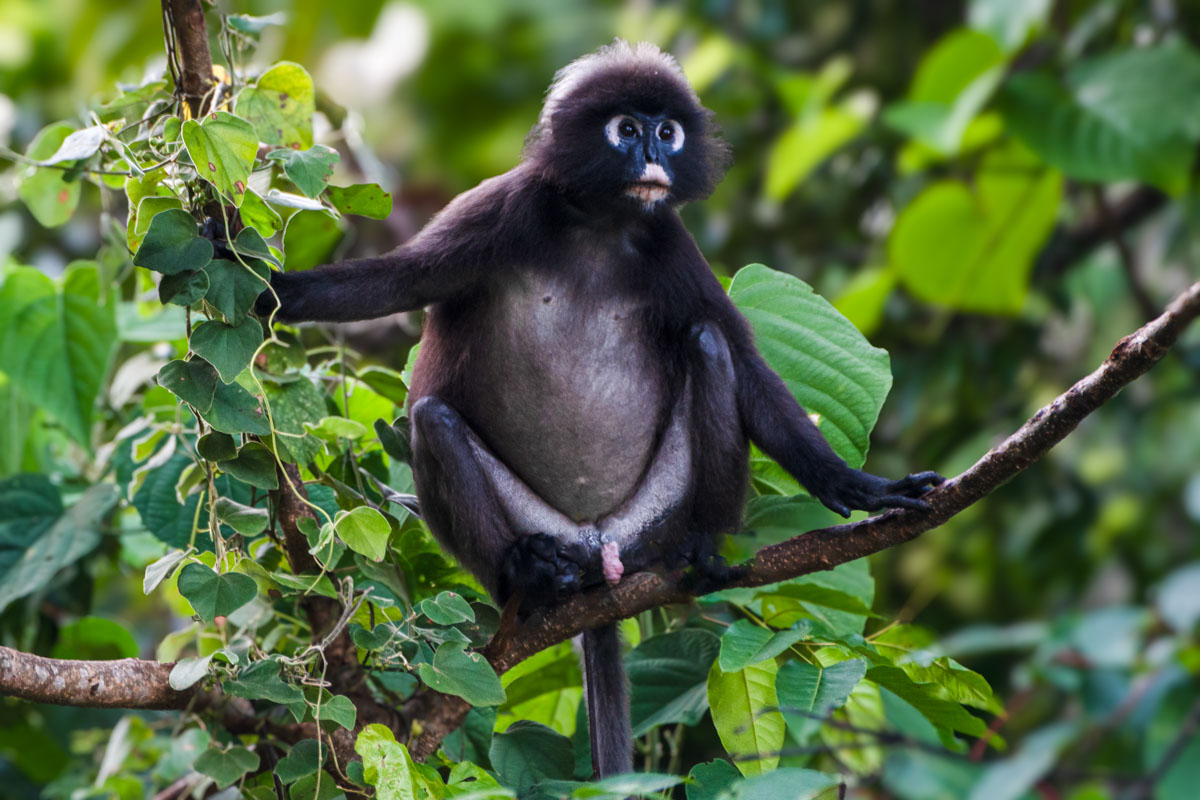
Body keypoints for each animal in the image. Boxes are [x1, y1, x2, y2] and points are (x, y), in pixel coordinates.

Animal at [258, 40, 940, 777]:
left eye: (667, 131)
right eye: (627, 129)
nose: (653, 156)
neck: (600, 224)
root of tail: (597, 552)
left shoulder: (670, 241)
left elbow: (747, 367)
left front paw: (861, 487)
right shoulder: (506, 207)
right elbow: (395, 283)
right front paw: (266, 284)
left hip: (651, 520)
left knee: (707, 345)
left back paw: (703, 550)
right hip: (543, 528)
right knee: (434, 420)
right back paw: (527, 578)